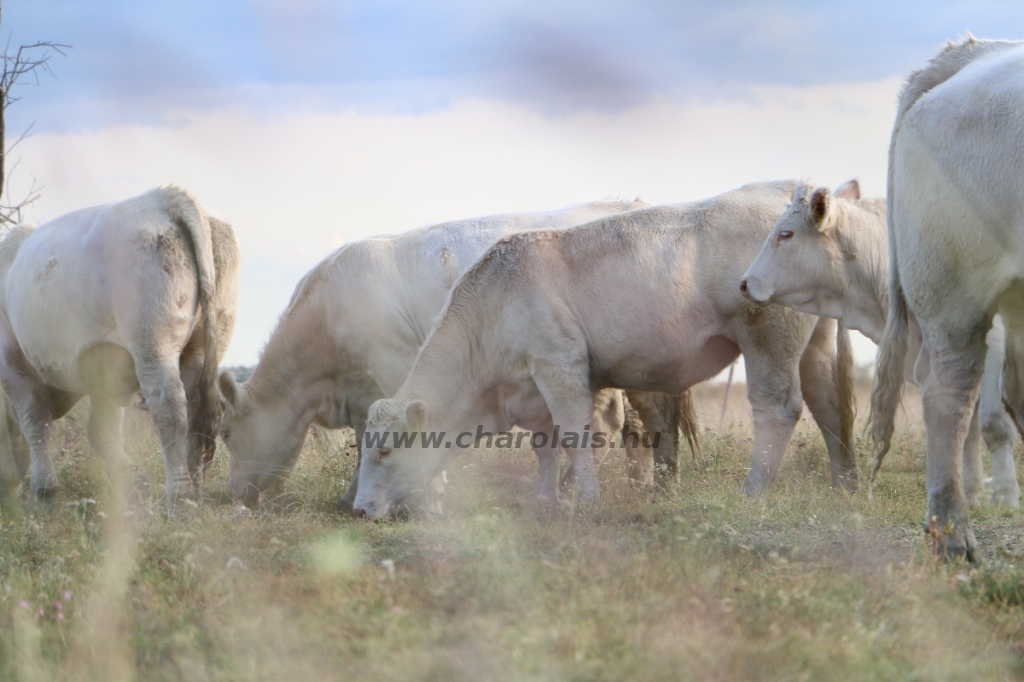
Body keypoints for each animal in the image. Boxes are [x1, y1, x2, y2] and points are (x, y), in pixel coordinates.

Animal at [0, 187, 238, 509]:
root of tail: (162, 196)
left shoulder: (12, 363)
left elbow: (35, 420)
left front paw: (45, 490)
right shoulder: (105, 371)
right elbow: (102, 429)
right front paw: (132, 480)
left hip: (152, 343)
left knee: (170, 408)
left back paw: (180, 497)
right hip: (202, 345)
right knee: (197, 409)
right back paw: (195, 488)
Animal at [216, 196, 647, 503]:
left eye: (225, 433)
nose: (231, 494)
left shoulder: (395, 368)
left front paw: (426, 497)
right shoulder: (360, 397)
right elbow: (364, 443)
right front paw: (353, 497)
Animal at [356, 180, 860, 516]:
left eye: (386, 452)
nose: (358, 509)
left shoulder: (559, 367)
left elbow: (576, 435)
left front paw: (585, 498)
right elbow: (548, 445)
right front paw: (546, 496)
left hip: (767, 336)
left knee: (778, 408)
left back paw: (754, 490)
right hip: (813, 343)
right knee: (828, 404)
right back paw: (844, 484)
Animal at [741, 179, 1019, 503]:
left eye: (786, 234)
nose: (744, 283)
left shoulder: (993, 338)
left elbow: (992, 424)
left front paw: (1006, 497)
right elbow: (965, 425)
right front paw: (971, 493)